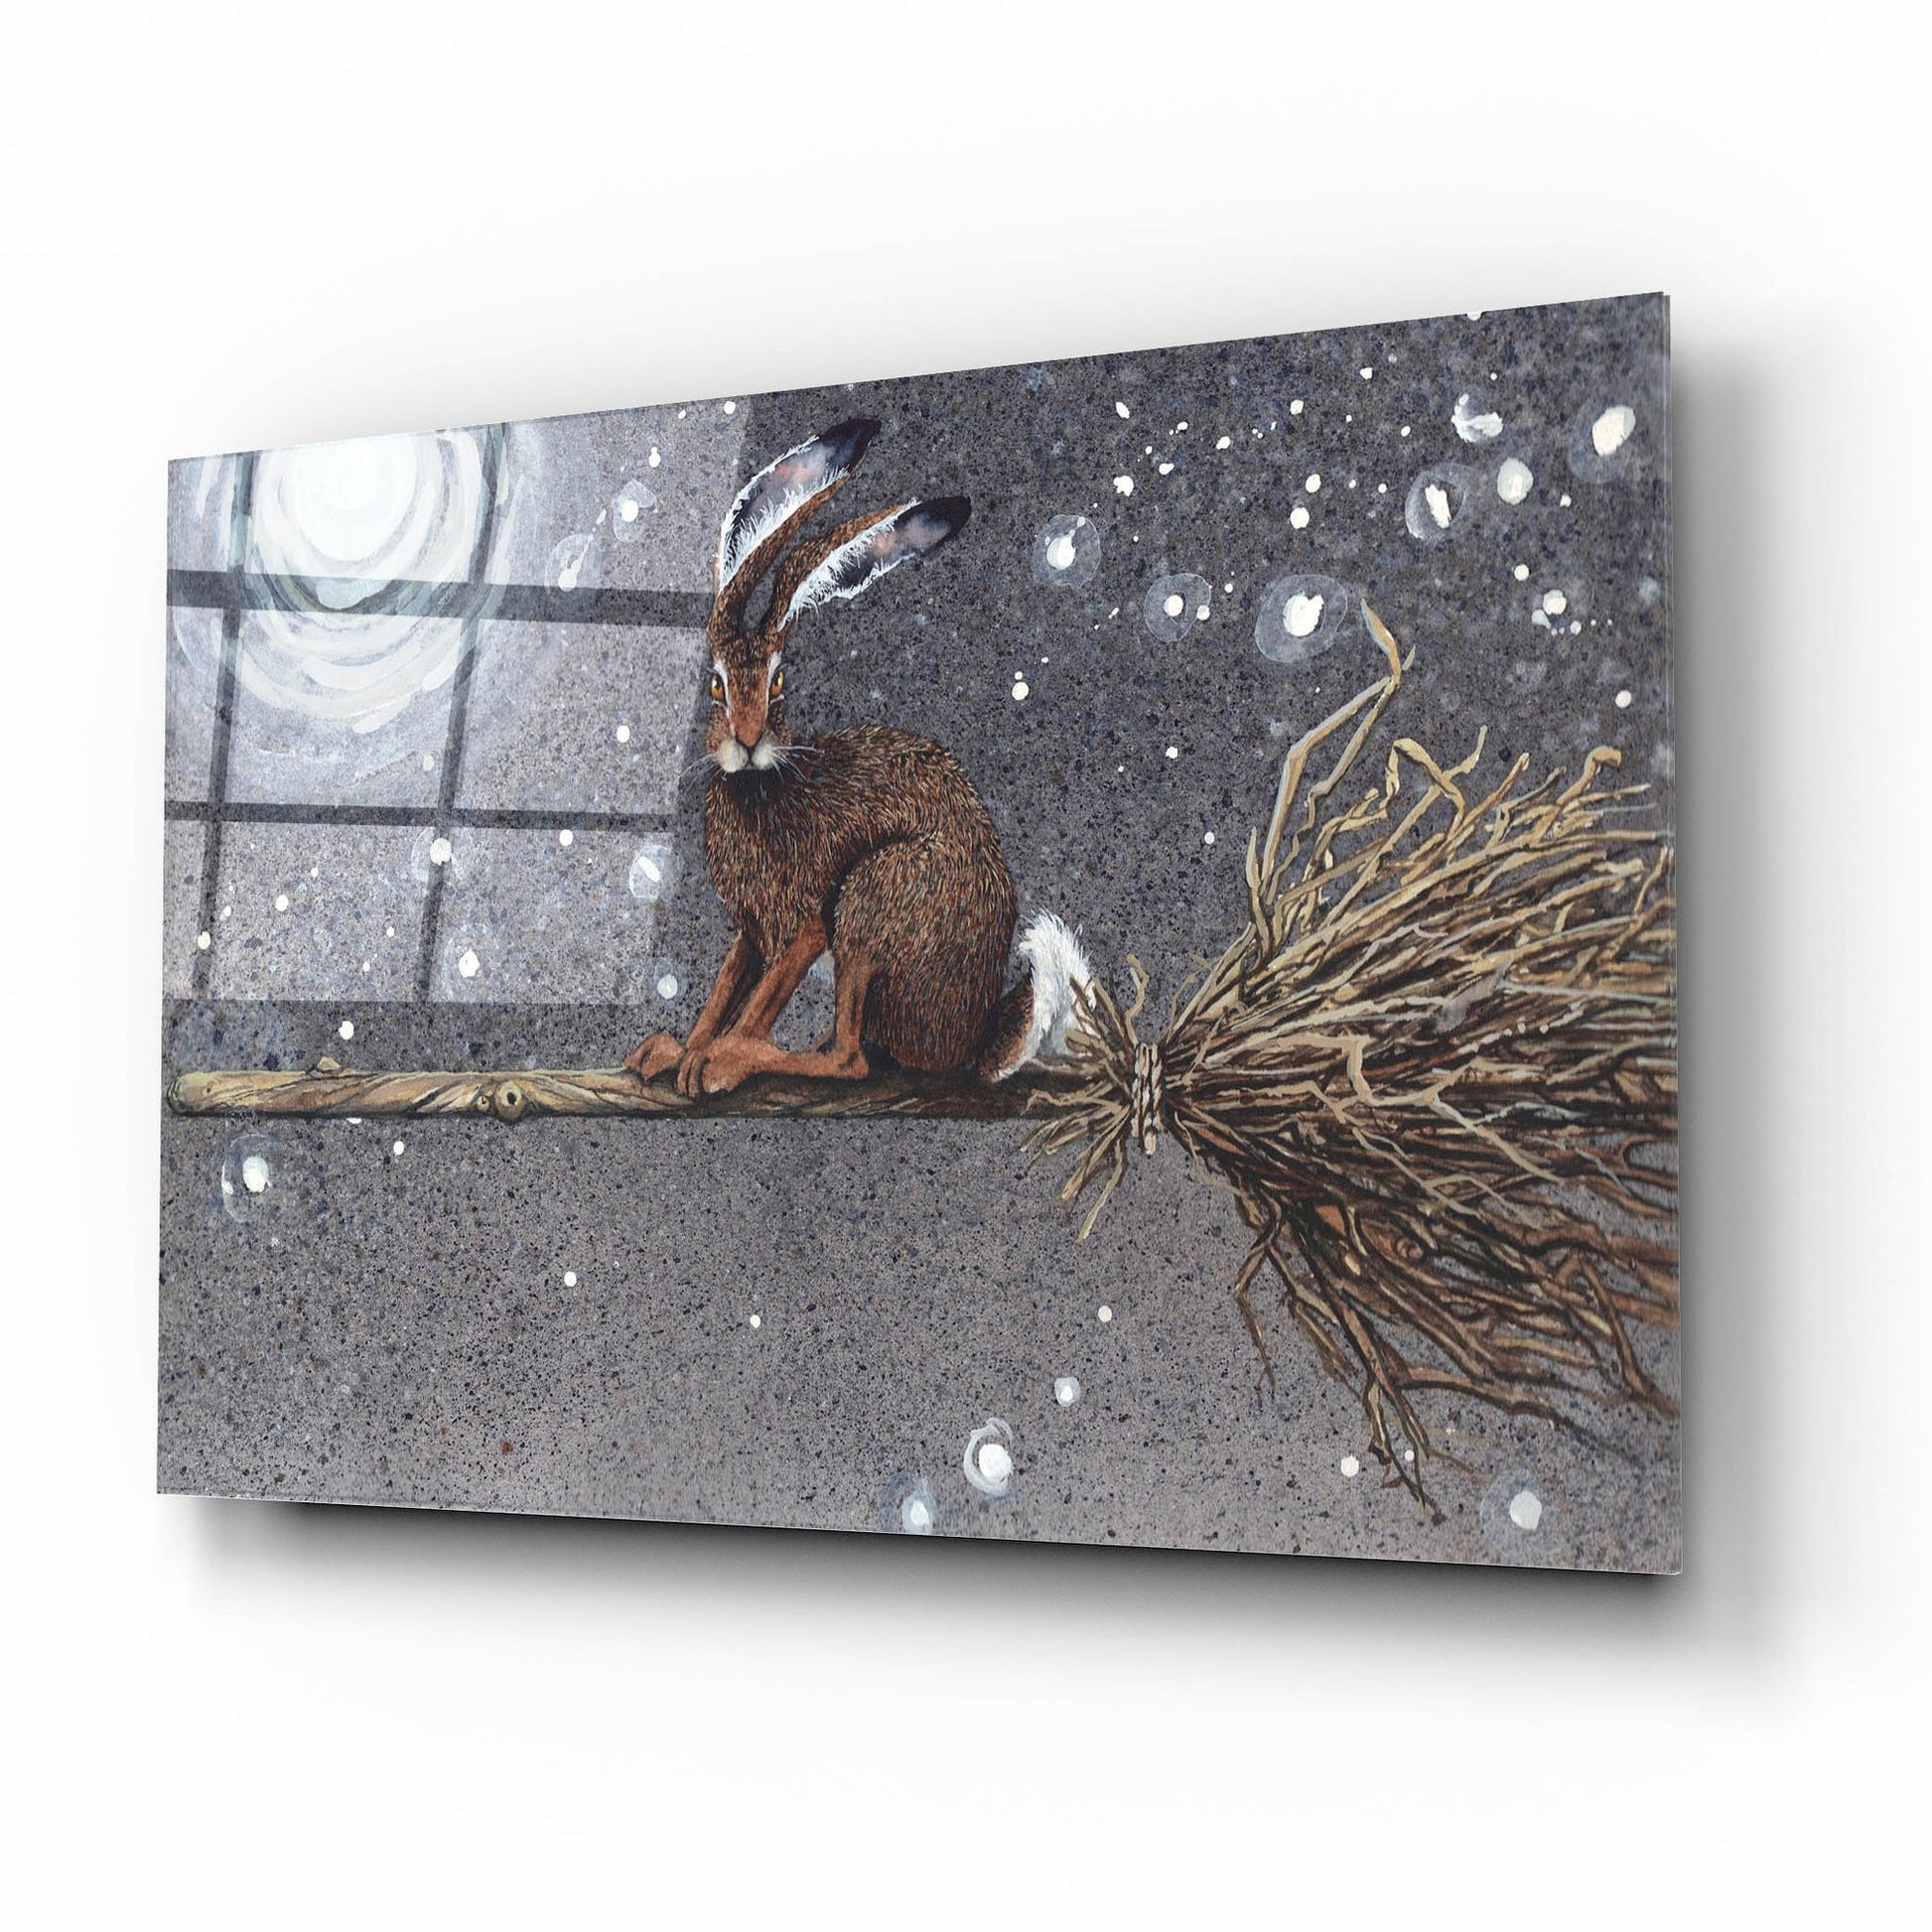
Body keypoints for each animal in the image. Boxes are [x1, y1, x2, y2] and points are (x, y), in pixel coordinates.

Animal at [625, 416, 1093, 1097]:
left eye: (779, 682)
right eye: (714, 685)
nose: (747, 738)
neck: (761, 783)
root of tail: (968, 1044)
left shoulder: (807, 925)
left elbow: (762, 996)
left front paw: (711, 1062)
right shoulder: (750, 929)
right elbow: (724, 986)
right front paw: (674, 1052)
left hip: (876, 900)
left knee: (851, 1057)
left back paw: (752, 1058)